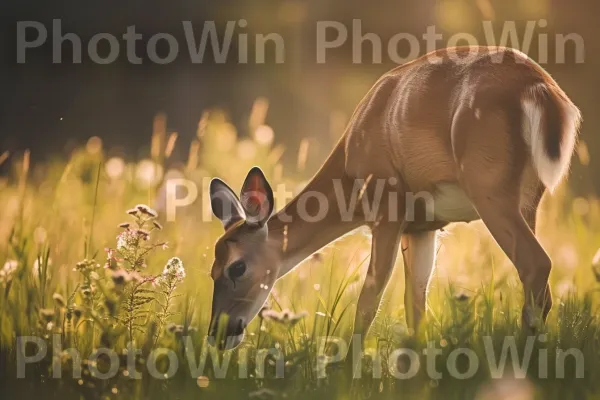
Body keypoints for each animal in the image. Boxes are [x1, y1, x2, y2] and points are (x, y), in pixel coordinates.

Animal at [207, 45, 580, 348]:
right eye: (211, 271)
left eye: (236, 267)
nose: (218, 334)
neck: (350, 173)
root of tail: (542, 89)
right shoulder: (423, 226)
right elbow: (415, 304)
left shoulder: (387, 204)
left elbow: (368, 299)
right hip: (529, 198)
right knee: (541, 285)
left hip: (489, 185)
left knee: (536, 263)